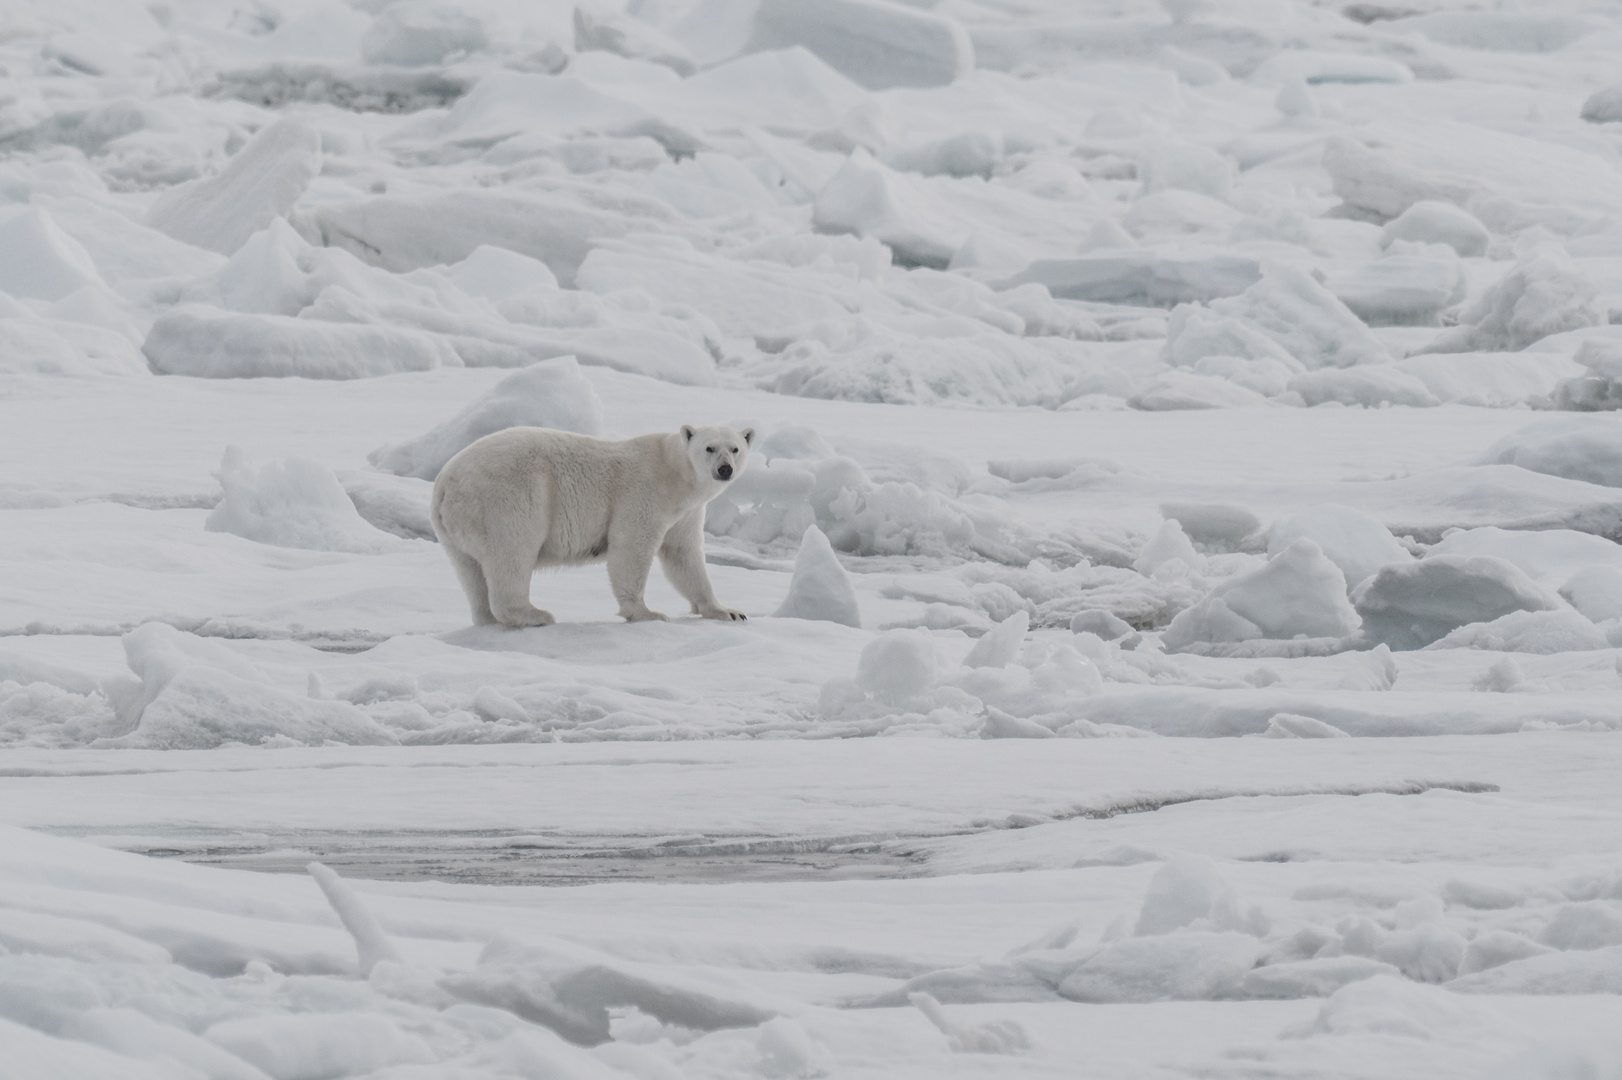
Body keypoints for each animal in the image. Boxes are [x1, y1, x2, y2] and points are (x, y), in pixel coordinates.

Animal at [434, 421, 755, 622]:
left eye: (735, 448)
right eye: (709, 448)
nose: (725, 469)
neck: (674, 472)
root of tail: (444, 484)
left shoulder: (686, 512)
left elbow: (683, 556)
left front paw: (728, 611)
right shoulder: (644, 492)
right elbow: (631, 547)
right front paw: (647, 613)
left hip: (457, 527)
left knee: (470, 571)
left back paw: (487, 617)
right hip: (507, 498)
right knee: (512, 551)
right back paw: (535, 615)